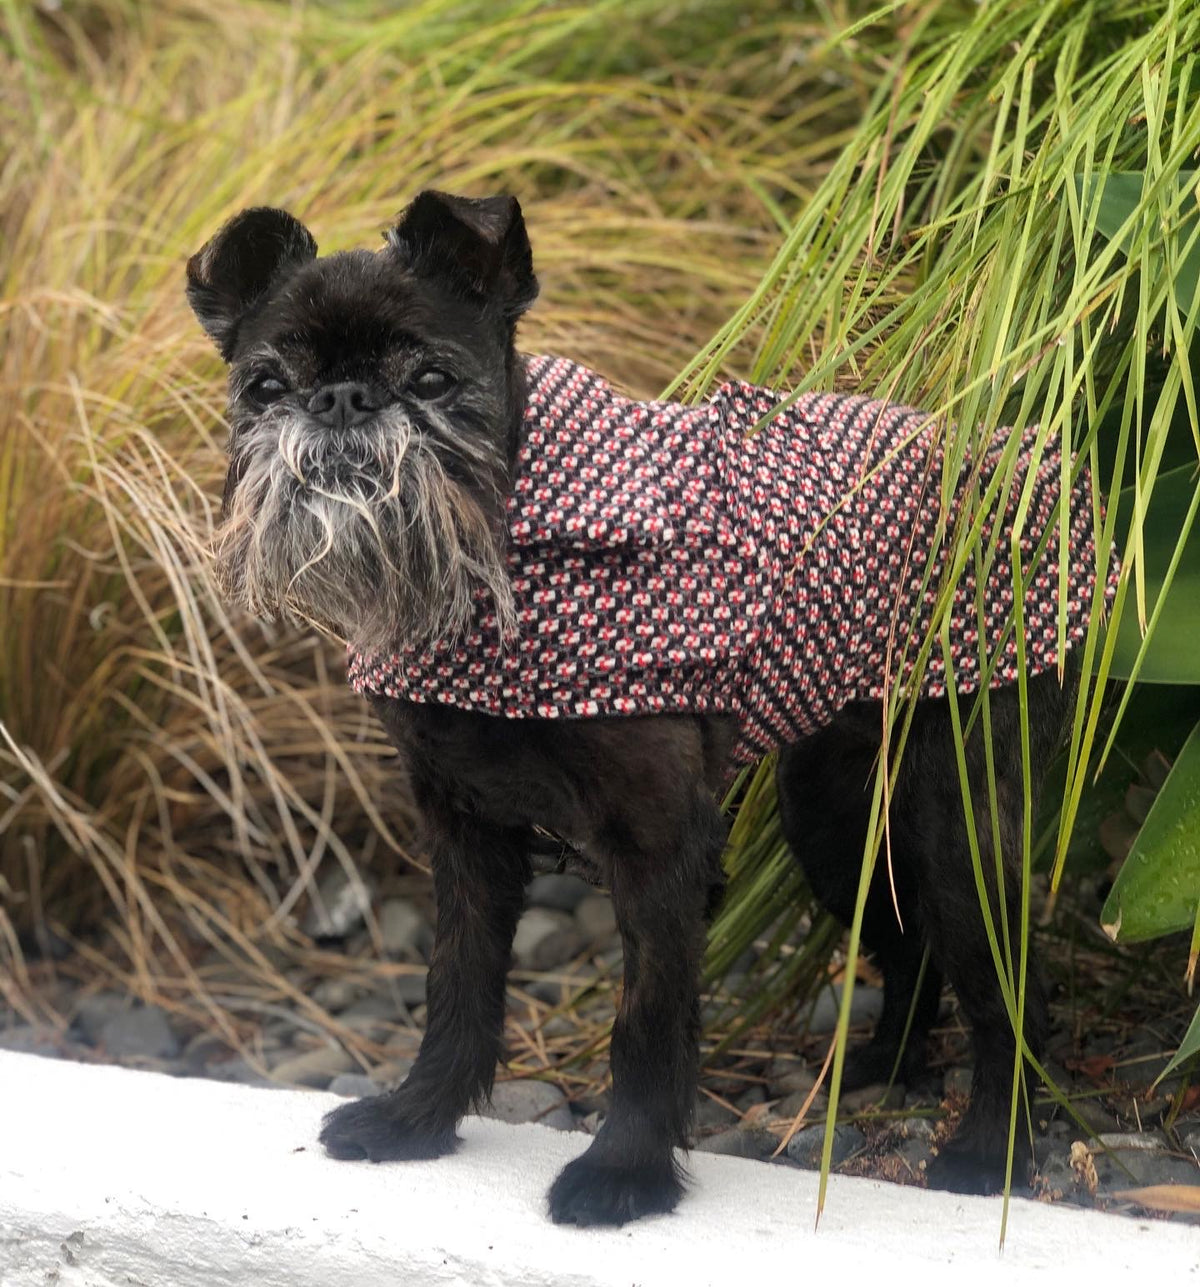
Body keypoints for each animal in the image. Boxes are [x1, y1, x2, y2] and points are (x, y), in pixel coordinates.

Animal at [185, 193, 1117, 1225]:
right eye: (265, 385)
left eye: (431, 377)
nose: (342, 401)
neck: (499, 562)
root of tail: (1018, 462)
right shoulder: (468, 836)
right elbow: (459, 985)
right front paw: (418, 1117)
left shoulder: (661, 843)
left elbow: (649, 1019)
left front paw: (624, 1170)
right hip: (831, 818)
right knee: (909, 947)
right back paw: (879, 1066)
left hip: (954, 825)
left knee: (1008, 985)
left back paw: (989, 1146)